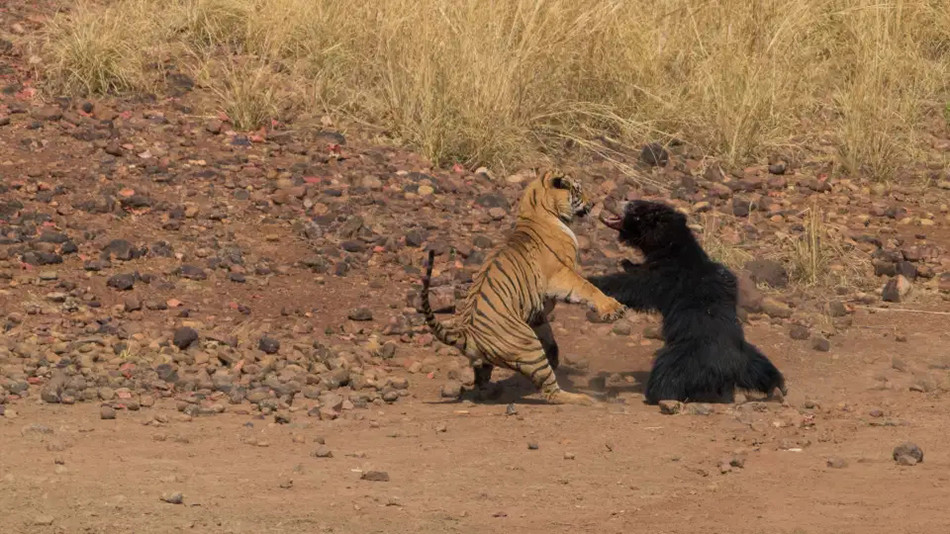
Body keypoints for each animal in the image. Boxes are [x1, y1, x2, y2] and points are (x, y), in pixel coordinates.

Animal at [420, 168, 628, 406]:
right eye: (578, 189)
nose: (592, 203)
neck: (535, 209)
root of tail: (468, 334)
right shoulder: (562, 275)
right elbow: (587, 288)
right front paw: (613, 309)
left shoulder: (537, 310)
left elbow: (546, 329)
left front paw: (554, 354)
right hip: (528, 347)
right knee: (551, 392)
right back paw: (584, 398)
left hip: (493, 358)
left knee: (481, 379)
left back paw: (491, 391)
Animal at [596, 201, 788, 406]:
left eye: (634, 208)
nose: (613, 200)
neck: (673, 248)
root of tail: (729, 369)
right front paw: (626, 262)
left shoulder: (664, 277)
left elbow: (633, 286)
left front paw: (594, 282)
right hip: (749, 357)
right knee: (764, 369)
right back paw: (777, 388)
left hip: (682, 359)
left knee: (665, 377)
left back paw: (658, 396)